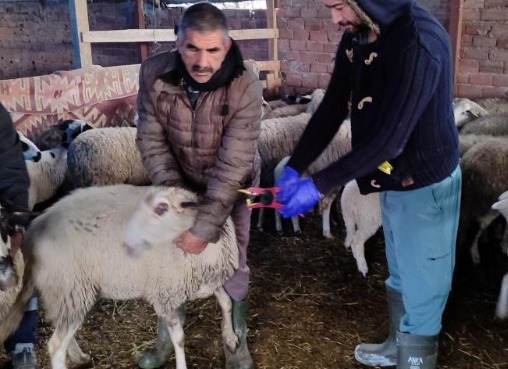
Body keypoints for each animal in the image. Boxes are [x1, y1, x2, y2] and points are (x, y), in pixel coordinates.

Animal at [0, 185, 240, 368]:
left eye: (162, 208)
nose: (128, 242)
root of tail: (35, 230)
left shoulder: (208, 280)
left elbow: (227, 302)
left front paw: (230, 337)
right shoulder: (166, 294)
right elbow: (179, 338)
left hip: (65, 291)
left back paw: (79, 356)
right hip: (71, 287)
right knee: (56, 345)